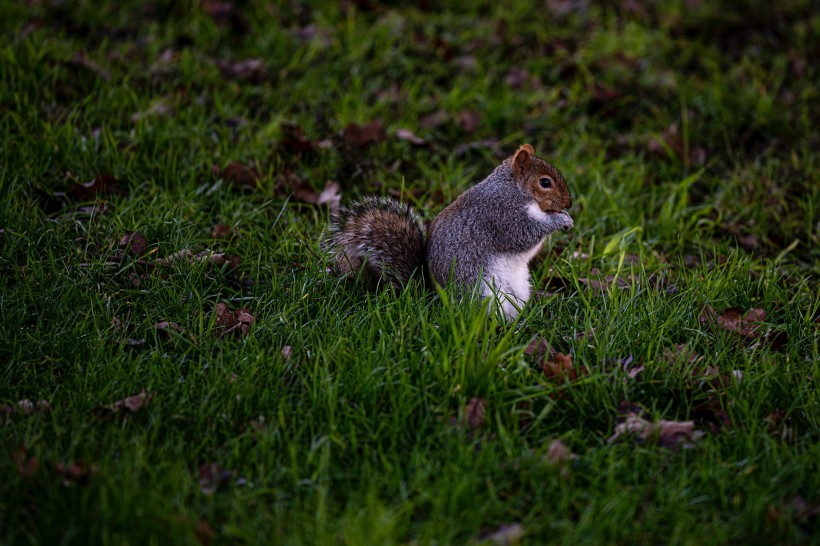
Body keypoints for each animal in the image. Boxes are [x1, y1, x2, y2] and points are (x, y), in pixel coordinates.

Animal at [324, 143, 572, 318]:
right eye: (545, 183)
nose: (568, 203)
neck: (515, 190)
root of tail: (433, 298)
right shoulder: (500, 215)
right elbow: (522, 235)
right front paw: (559, 221)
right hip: (482, 291)